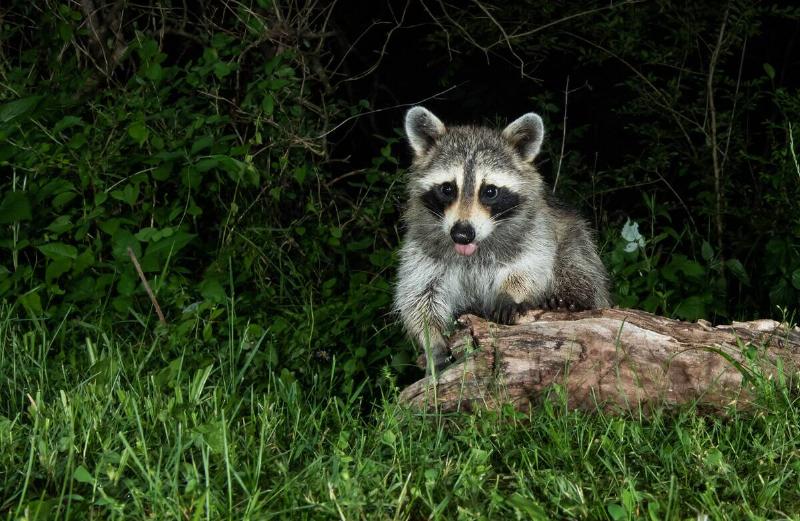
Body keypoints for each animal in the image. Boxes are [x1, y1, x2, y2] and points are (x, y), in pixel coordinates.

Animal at [394, 106, 611, 371]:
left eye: (490, 191)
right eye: (447, 189)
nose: (461, 234)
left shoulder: (534, 229)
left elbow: (532, 264)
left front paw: (512, 292)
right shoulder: (422, 246)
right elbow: (418, 295)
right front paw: (431, 338)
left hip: (575, 234)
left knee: (577, 263)